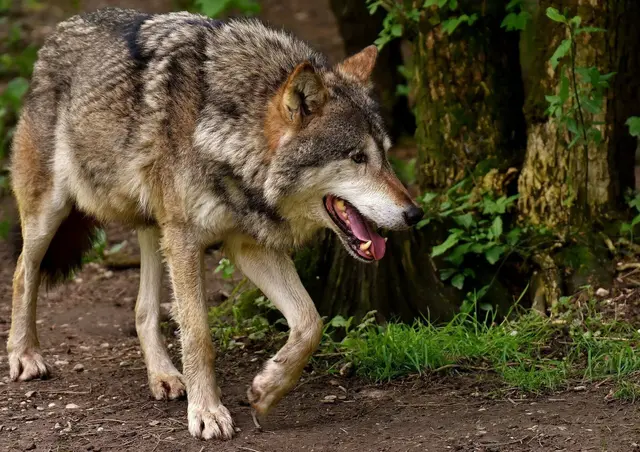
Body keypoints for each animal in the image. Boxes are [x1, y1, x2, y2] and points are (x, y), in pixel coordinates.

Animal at [7, 8, 423, 440]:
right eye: (357, 158)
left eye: (386, 156)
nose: (415, 214)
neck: (227, 135)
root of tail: (61, 30)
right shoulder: (187, 240)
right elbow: (198, 335)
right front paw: (206, 412)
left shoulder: (248, 246)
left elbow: (311, 322)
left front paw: (266, 390)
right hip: (51, 214)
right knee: (23, 272)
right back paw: (24, 355)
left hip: (155, 228)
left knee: (143, 309)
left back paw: (164, 376)